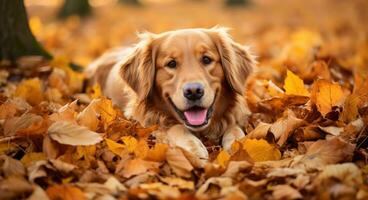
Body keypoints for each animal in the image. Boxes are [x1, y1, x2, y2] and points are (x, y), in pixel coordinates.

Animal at [86, 27, 256, 159]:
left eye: (207, 59)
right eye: (171, 63)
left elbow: (235, 128)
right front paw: (193, 146)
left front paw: (238, 146)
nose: (193, 91)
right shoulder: (145, 121)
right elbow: (175, 127)